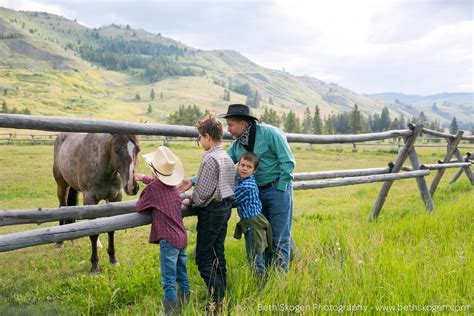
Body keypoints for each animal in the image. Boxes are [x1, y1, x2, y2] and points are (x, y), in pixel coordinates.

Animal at [53, 132, 141, 272]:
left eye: (137, 150)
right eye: (116, 150)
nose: (132, 186)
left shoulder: (115, 199)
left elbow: (111, 229)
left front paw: (113, 259)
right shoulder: (90, 199)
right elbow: (93, 233)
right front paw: (95, 266)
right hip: (62, 185)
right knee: (62, 206)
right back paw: (60, 242)